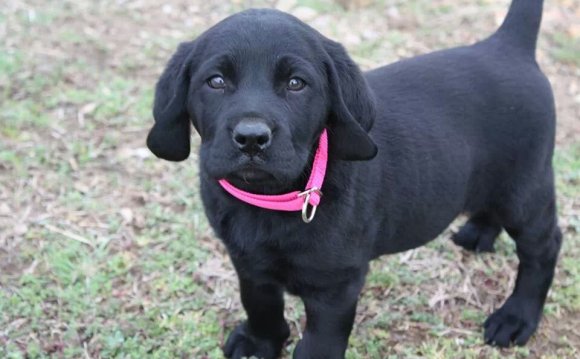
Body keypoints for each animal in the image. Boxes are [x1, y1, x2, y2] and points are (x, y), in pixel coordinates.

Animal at [146, 0, 560, 358]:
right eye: (215, 81)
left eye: (296, 84)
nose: (251, 137)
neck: (271, 200)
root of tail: (506, 45)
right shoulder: (247, 262)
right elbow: (260, 304)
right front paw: (260, 342)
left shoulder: (335, 287)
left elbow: (318, 345)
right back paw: (478, 232)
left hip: (525, 186)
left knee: (543, 247)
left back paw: (516, 317)